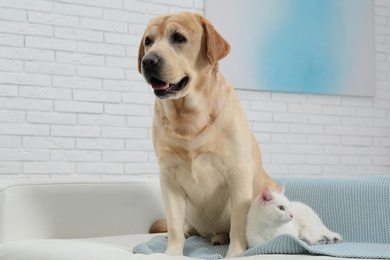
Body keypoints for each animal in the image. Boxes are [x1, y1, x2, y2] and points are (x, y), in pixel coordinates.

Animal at [137, 12, 278, 258]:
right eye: (148, 41)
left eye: (178, 38)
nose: (148, 61)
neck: (188, 118)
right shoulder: (168, 178)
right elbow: (174, 225)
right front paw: (172, 252)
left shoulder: (239, 173)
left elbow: (238, 224)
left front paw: (235, 253)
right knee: (183, 227)